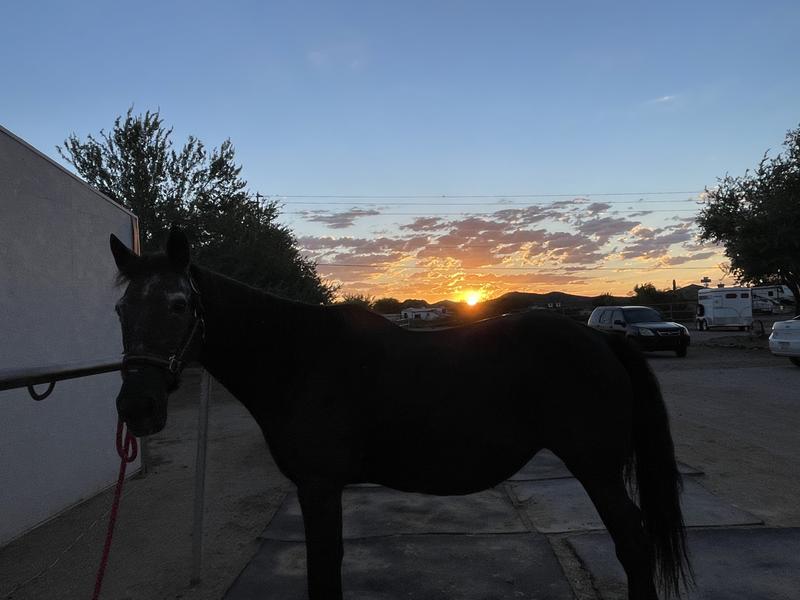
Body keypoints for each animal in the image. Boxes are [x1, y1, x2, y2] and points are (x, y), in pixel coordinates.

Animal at [110, 227, 692, 600]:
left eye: (178, 305)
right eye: (120, 308)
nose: (137, 407)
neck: (299, 358)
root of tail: (601, 338)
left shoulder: (319, 486)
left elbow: (324, 575)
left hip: (596, 468)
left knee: (633, 545)